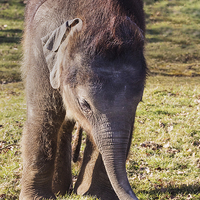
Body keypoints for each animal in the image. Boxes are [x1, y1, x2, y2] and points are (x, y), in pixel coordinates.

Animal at [20, 0, 147, 200]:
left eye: (139, 100)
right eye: (84, 104)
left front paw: (96, 194)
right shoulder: (39, 47)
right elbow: (45, 115)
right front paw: (37, 197)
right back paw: (60, 190)